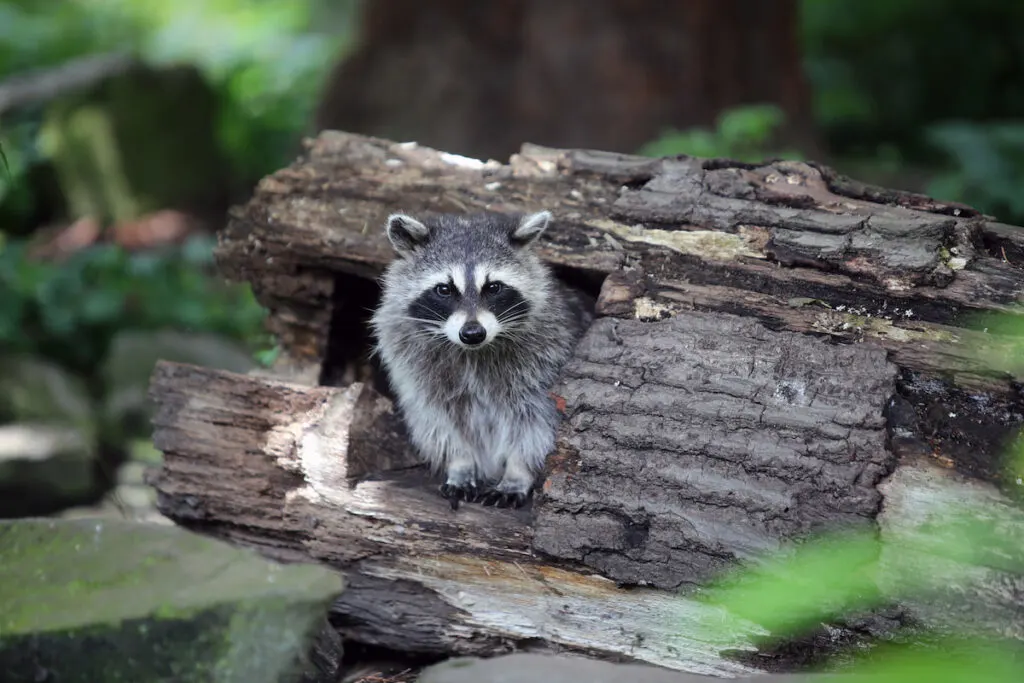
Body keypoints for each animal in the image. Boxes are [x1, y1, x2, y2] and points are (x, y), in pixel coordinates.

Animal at [370, 210, 593, 509]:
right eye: (444, 289)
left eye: (494, 287)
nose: (473, 333)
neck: (473, 352)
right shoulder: (416, 370)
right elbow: (440, 421)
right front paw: (461, 464)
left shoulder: (546, 360)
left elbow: (535, 424)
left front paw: (517, 473)